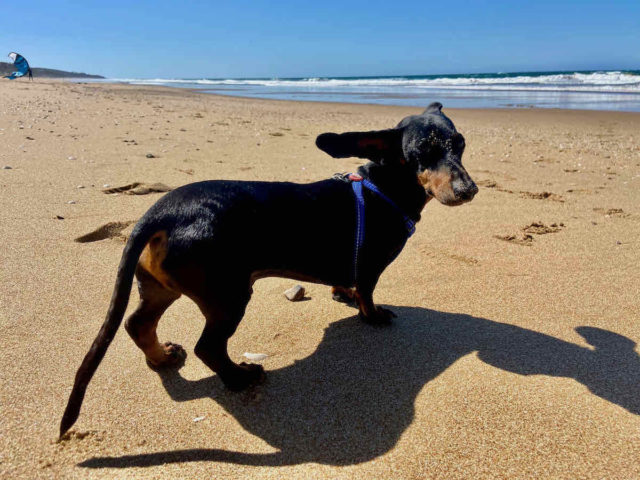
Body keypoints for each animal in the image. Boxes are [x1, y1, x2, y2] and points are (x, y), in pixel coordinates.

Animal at [60, 103, 478, 436]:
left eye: (459, 144)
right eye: (421, 152)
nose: (468, 190)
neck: (382, 187)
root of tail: (160, 212)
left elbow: (346, 284)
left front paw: (341, 295)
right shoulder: (371, 267)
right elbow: (367, 294)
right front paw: (372, 315)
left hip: (164, 286)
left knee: (138, 324)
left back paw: (162, 357)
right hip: (228, 295)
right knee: (208, 347)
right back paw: (239, 377)